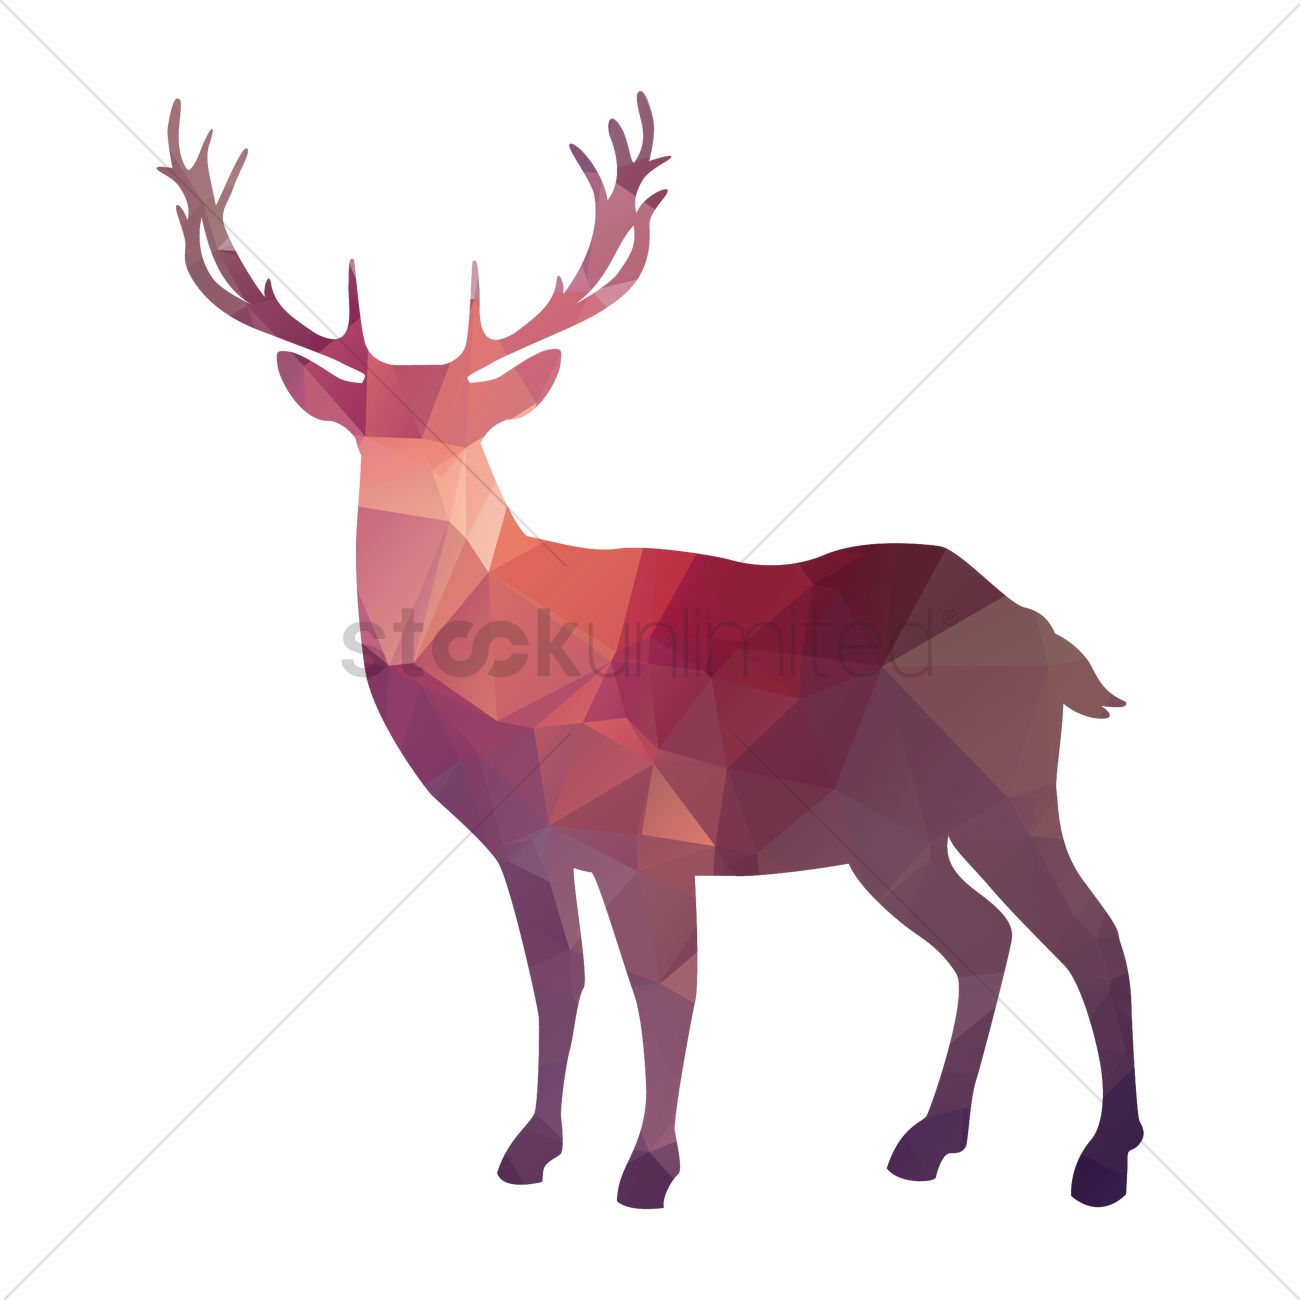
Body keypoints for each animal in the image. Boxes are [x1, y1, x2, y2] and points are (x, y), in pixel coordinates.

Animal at [160, 94, 1141, 1210]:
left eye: (466, 428)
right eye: (363, 427)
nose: (409, 518)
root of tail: (1043, 633)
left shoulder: (654, 835)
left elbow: (664, 990)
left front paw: (648, 1167)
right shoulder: (527, 848)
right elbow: (559, 982)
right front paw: (530, 1148)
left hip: (1001, 791)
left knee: (1092, 933)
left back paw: (1101, 1159)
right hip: (896, 834)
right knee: (988, 939)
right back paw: (930, 1141)